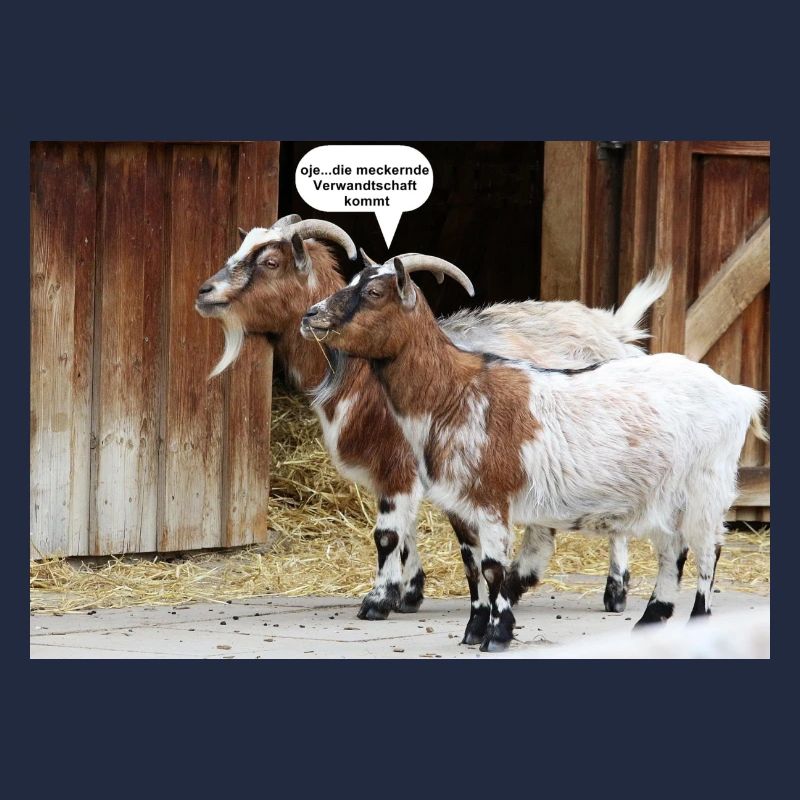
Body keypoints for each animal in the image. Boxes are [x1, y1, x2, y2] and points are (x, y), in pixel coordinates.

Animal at [196, 215, 668, 622]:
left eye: (270, 262)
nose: (205, 291)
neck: (362, 376)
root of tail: (614, 332)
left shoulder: (399, 463)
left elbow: (387, 534)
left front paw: (378, 600)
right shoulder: (397, 469)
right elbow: (406, 533)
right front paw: (410, 593)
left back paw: (614, 590)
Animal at [302, 257, 768, 651]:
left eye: (374, 292)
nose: (311, 315)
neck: (455, 393)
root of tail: (738, 394)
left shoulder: (492, 498)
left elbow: (494, 568)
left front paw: (498, 635)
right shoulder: (461, 503)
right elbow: (472, 566)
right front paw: (474, 629)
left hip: (708, 482)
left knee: (707, 548)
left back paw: (696, 620)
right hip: (665, 490)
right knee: (673, 549)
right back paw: (651, 619)